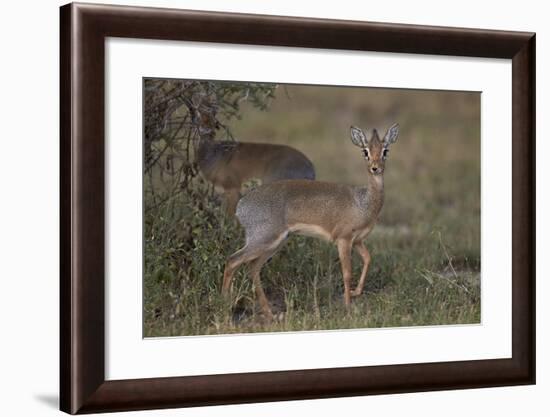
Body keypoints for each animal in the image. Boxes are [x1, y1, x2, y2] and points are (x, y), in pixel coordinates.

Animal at [223, 123, 402, 318]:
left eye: (385, 150)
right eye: (365, 151)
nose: (375, 168)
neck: (363, 202)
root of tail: (241, 205)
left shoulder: (358, 241)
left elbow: (368, 258)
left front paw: (356, 292)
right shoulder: (343, 240)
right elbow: (347, 273)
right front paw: (348, 306)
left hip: (274, 243)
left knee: (252, 267)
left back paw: (268, 312)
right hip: (264, 239)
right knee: (232, 260)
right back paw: (225, 306)